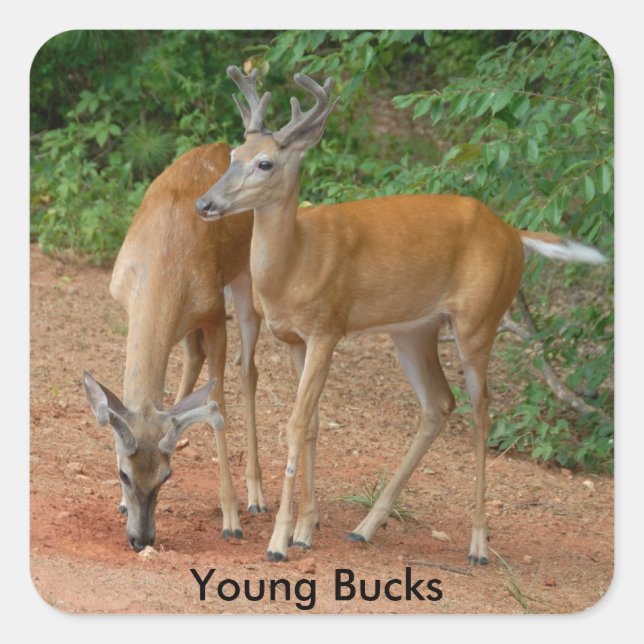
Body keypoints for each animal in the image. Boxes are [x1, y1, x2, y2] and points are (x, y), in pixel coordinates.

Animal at [83, 142, 267, 552]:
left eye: (167, 477)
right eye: (122, 473)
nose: (141, 539)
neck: (163, 264)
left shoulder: (214, 314)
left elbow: (219, 406)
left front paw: (231, 520)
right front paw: (121, 503)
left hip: (247, 281)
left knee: (248, 370)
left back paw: (257, 497)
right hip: (187, 327)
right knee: (194, 360)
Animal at [195, 67, 606, 564]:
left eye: (265, 164)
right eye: (233, 154)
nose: (205, 204)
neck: (296, 261)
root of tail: (513, 231)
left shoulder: (329, 328)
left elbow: (296, 424)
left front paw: (279, 542)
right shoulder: (296, 338)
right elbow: (312, 423)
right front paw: (306, 529)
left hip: (479, 320)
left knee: (482, 414)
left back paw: (478, 544)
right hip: (414, 331)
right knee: (438, 404)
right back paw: (365, 527)